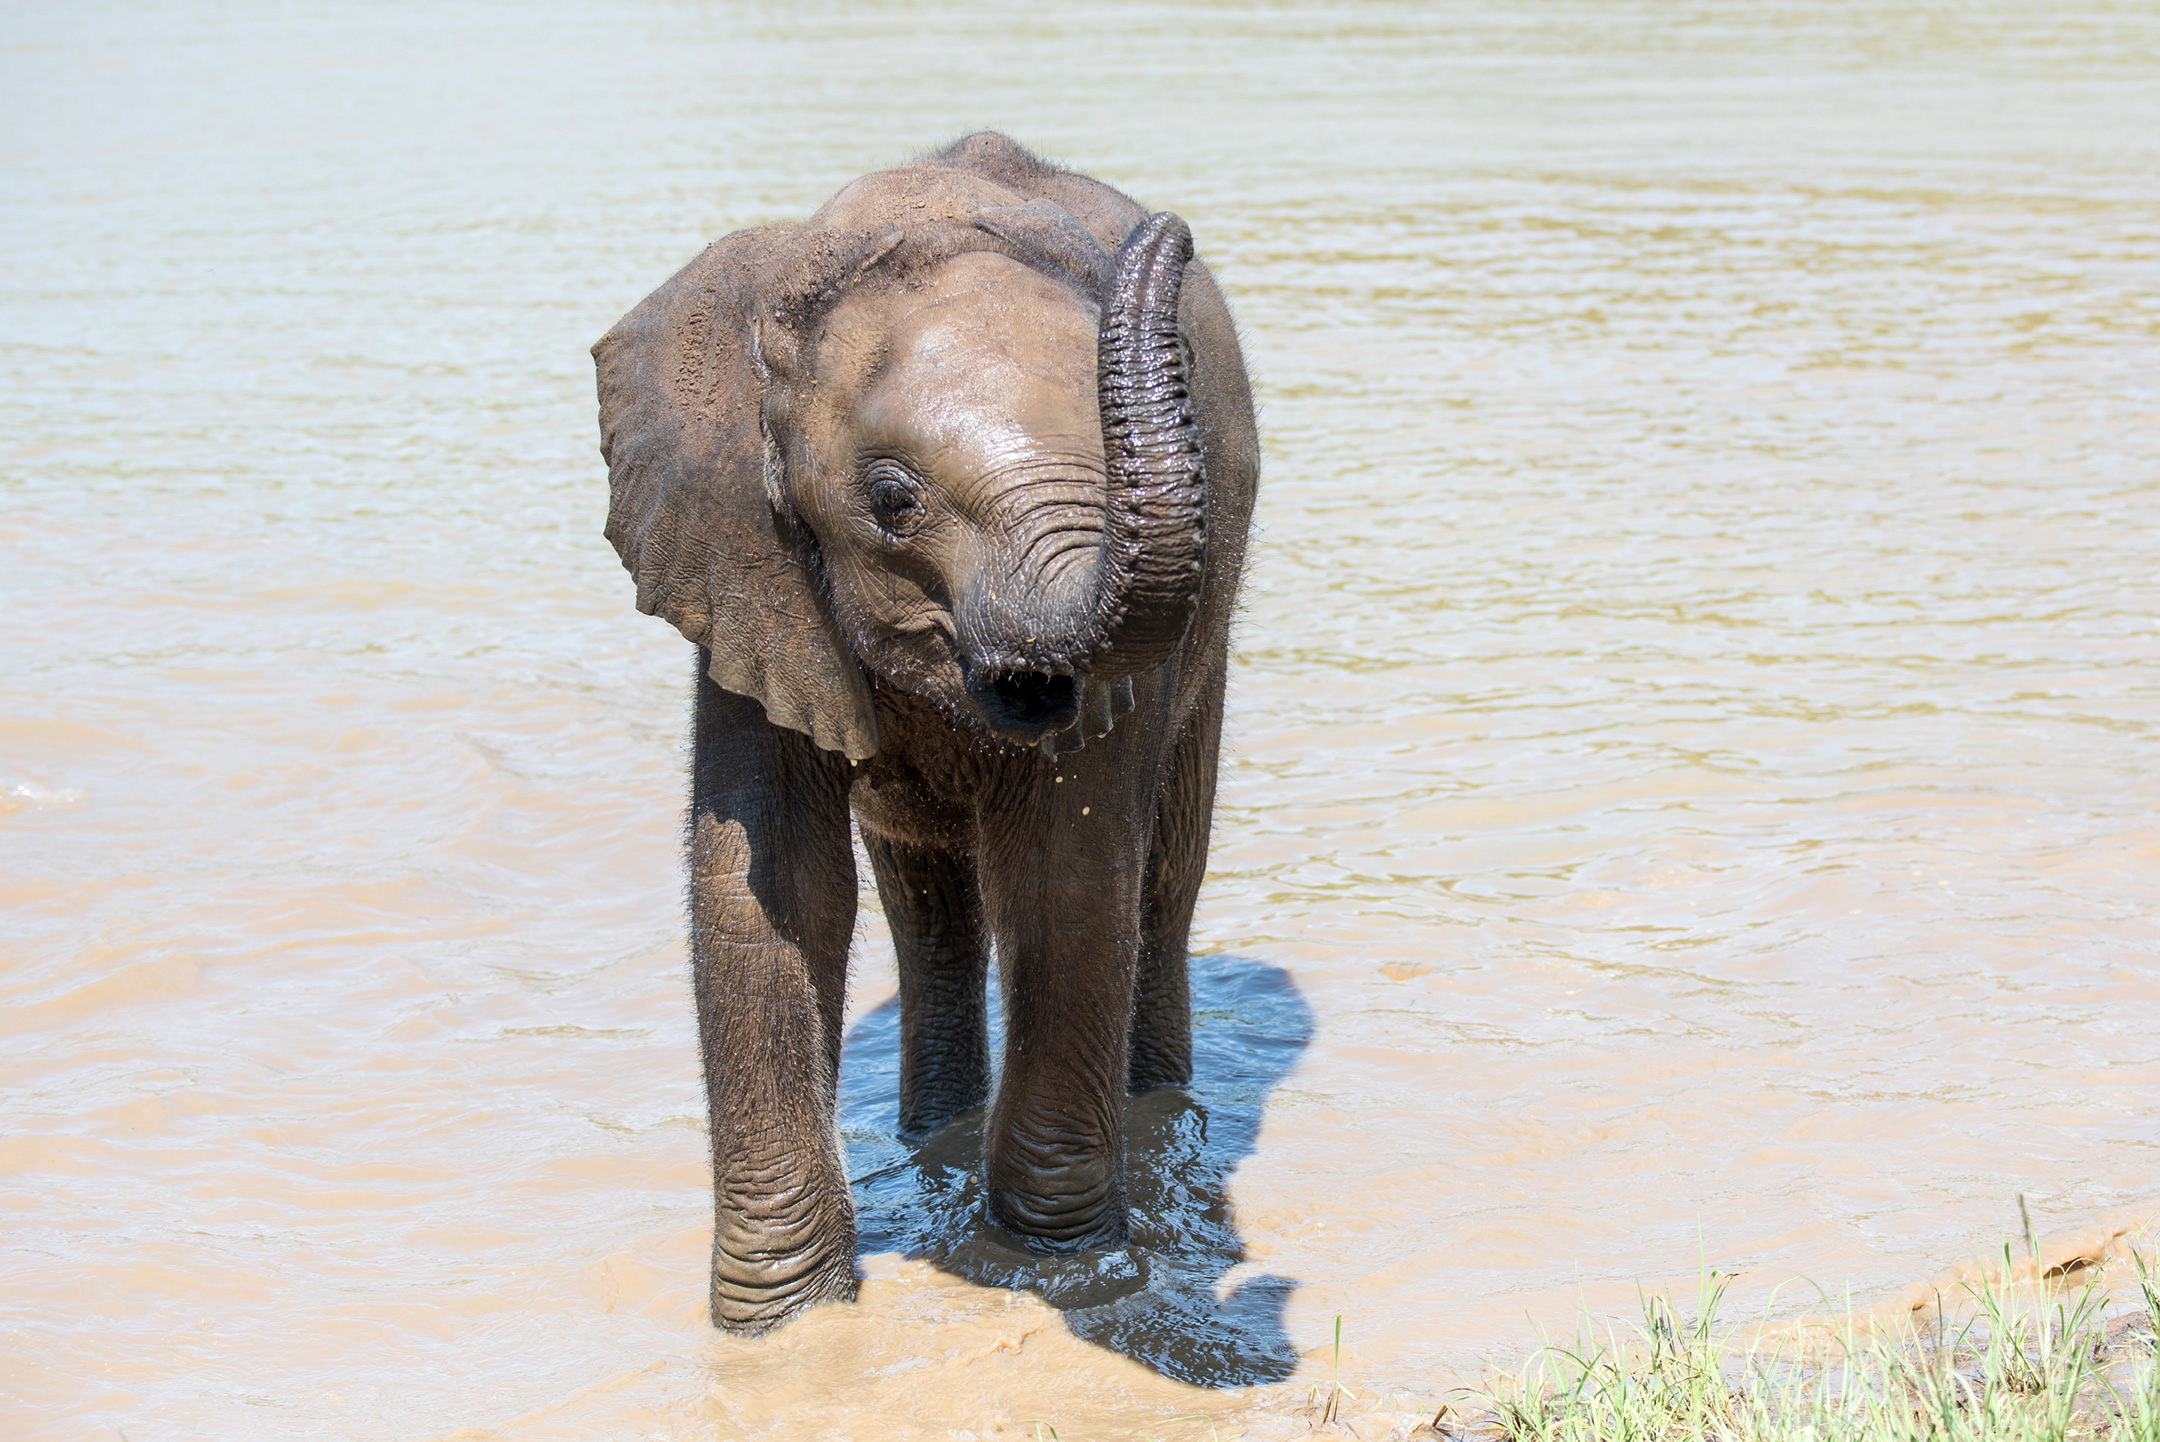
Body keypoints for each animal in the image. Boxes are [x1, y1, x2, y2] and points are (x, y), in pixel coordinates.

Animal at [592, 132, 1258, 1335]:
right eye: (894, 501)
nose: (1168, 237)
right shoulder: (742, 558)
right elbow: (770, 885)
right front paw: (779, 1326)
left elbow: (1068, 877)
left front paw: (1053, 1270)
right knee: (926, 901)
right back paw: (929, 1136)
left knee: (1163, 877)